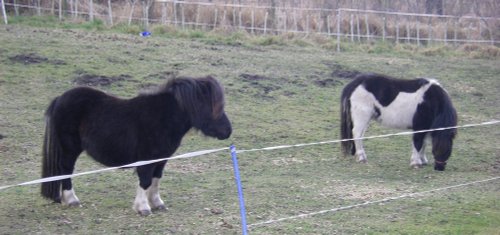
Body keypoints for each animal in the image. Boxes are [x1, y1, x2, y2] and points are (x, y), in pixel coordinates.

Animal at [41, 75, 232, 215]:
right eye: (211, 106)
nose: (228, 131)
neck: (162, 119)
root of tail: (60, 99)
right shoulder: (146, 160)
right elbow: (145, 180)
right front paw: (143, 208)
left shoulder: (161, 159)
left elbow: (156, 179)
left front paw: (157, 203)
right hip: (70, 149)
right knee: (66, 170)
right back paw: (71, 199)